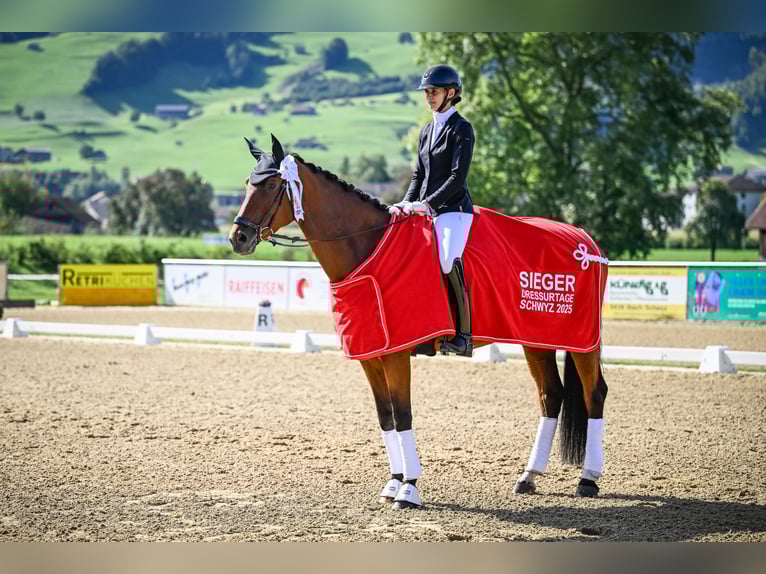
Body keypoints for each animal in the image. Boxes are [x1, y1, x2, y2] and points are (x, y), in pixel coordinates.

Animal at [229, 134, 609, 509]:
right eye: (247, 183)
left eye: (273, 184)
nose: (238, 238)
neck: (367, 248)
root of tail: (585, 239)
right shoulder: (371, 355)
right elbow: (385, 416)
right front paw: (393, 482)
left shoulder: (397, 353)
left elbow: (403, 414)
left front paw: (409, 489)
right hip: (536, 339)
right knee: (551, 395)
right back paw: (528, 477)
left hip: (582, 339)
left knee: (594, 392)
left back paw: (588, 479)